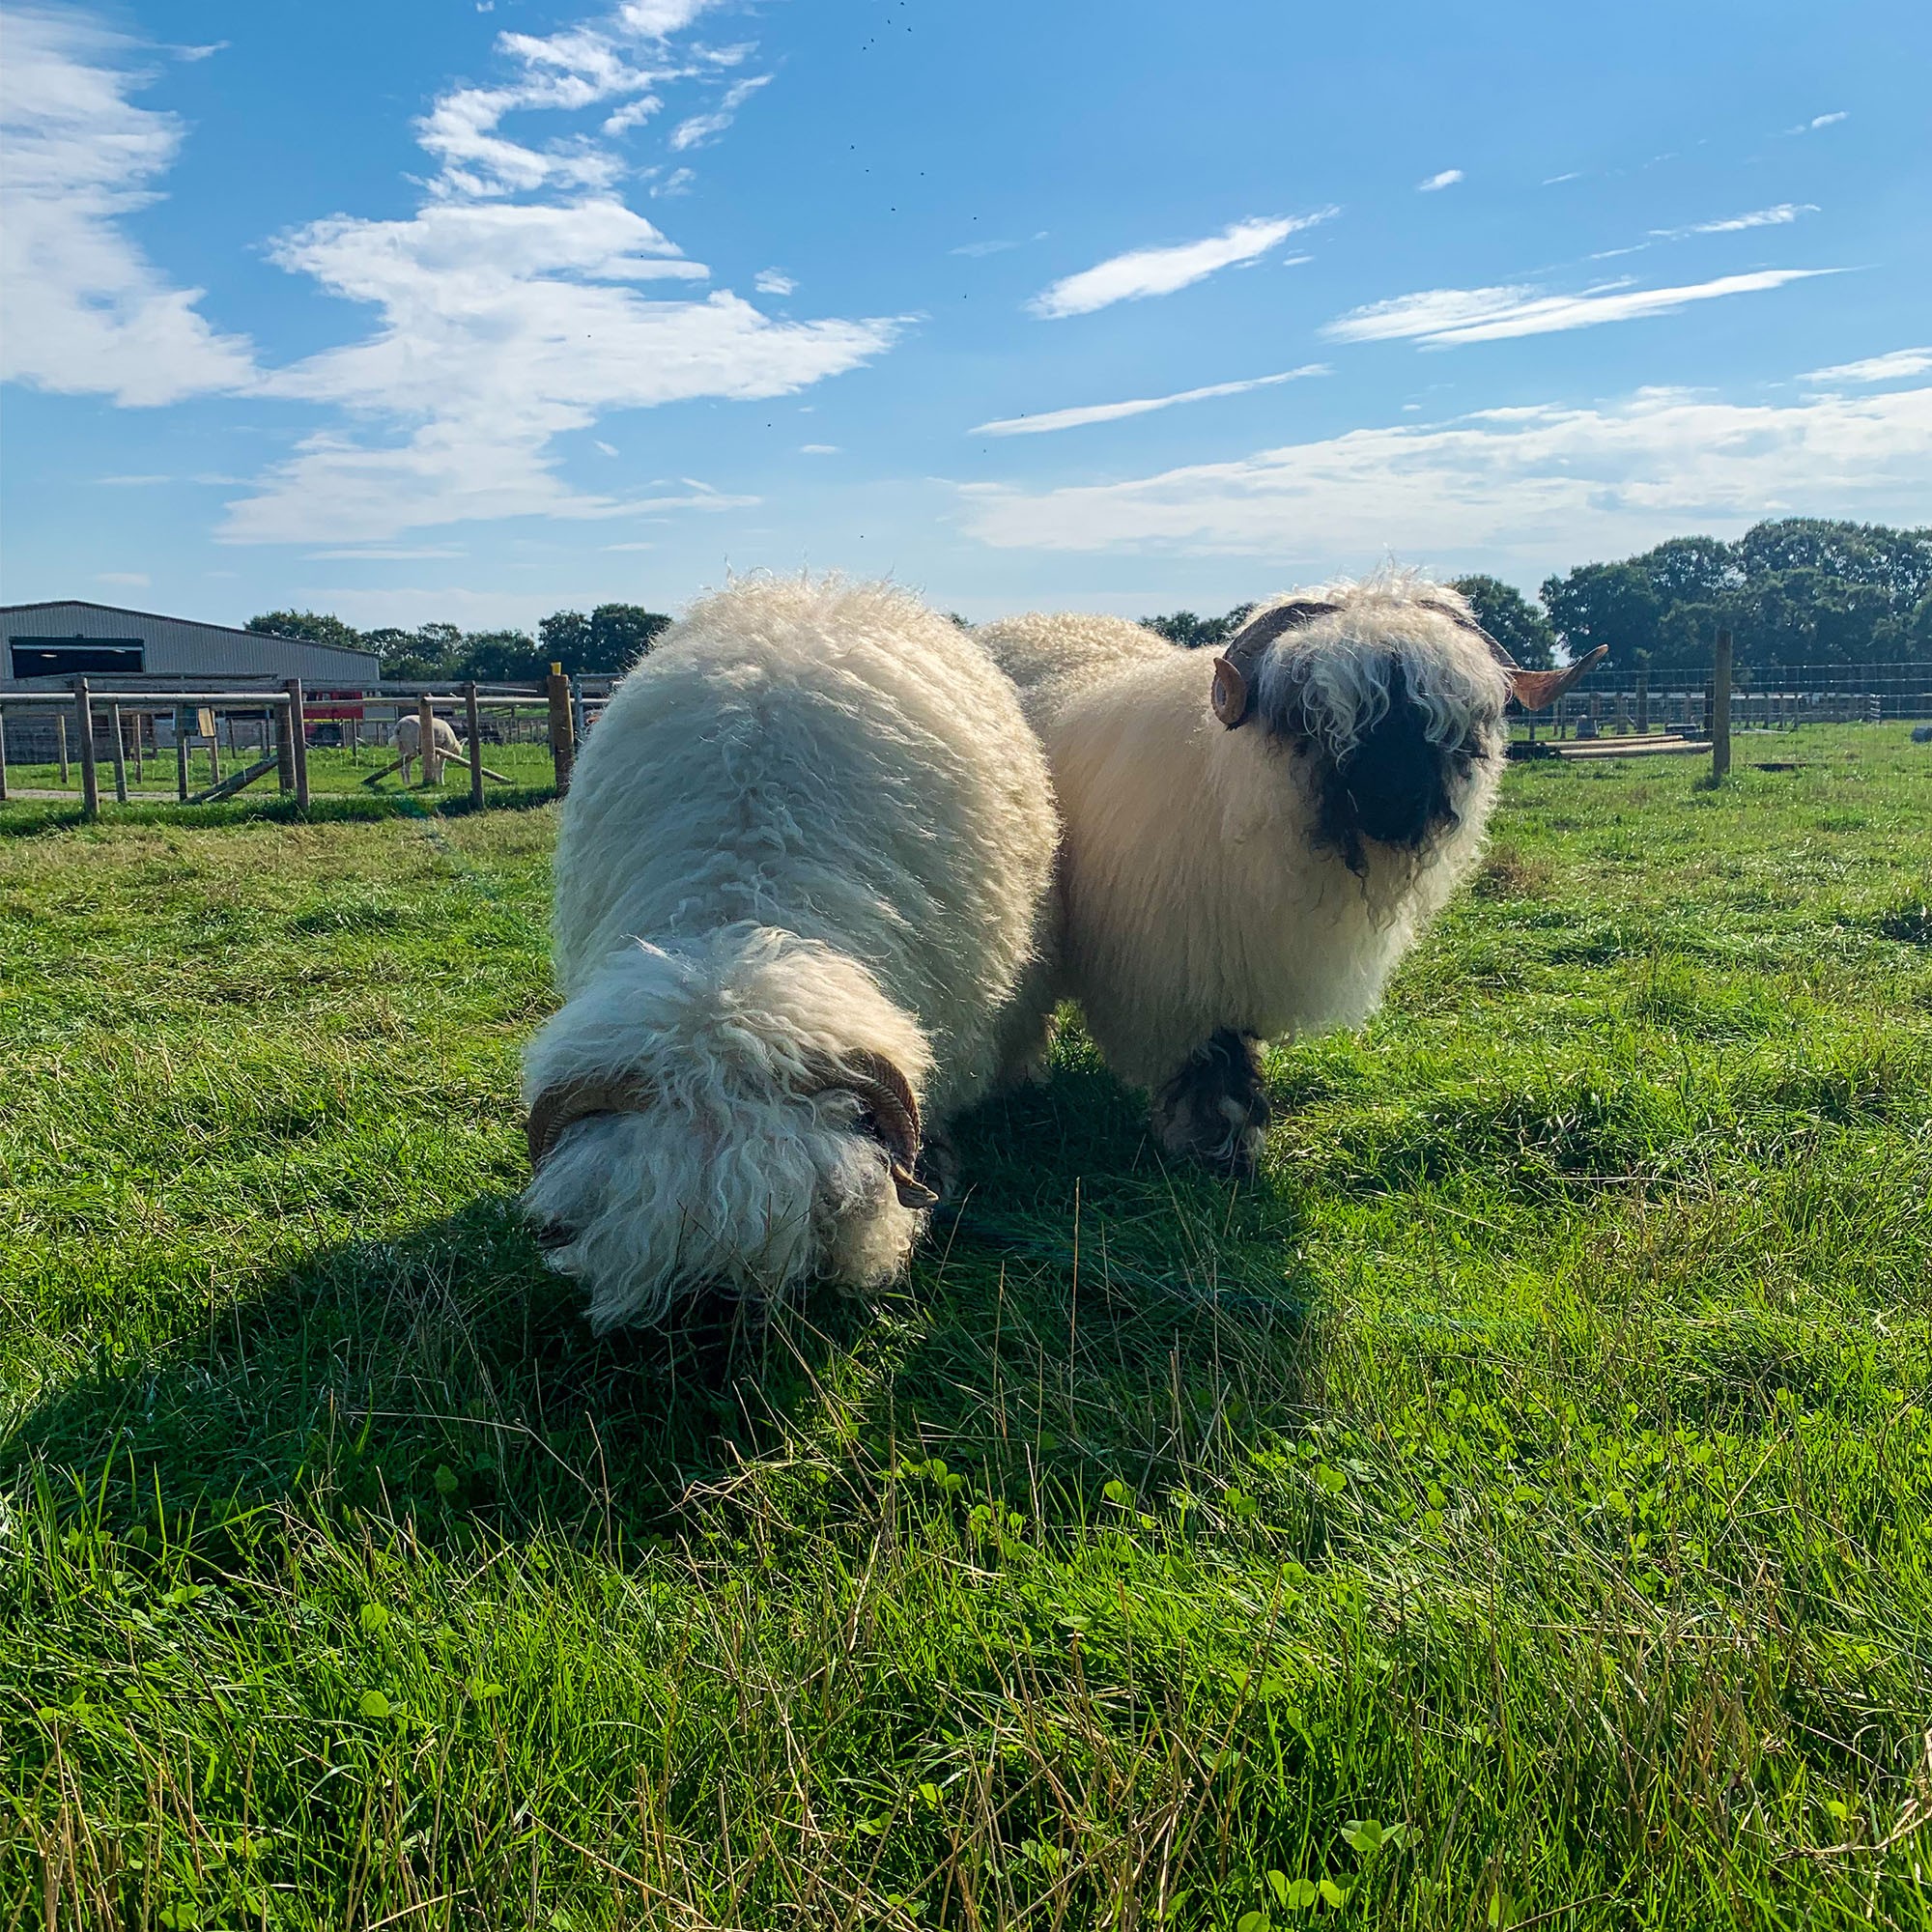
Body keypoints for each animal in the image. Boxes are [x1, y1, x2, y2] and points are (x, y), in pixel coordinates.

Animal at [981, 572, 1600, 1175]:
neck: (1231, 791)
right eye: (1316, 716)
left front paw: (1234, 1141)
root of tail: (1041, 620)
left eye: (1440, 720)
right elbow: (1214, 1058)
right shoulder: (1184, 972)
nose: (1394, 804)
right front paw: (1214, 1145)